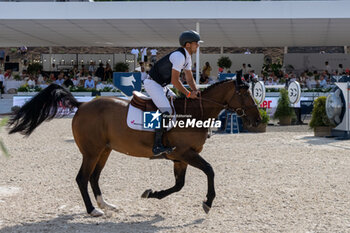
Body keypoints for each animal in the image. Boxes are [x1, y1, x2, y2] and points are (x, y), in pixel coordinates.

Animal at [7, 75, 260, 218]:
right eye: (246, 94)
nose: (257, 120)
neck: (196, 113)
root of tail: (82, 105)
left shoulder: (180, 158)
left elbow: (179, 185)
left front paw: (152, 194)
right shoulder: (185, 154)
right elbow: (209, 170)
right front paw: (208, 202)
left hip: (104, 151)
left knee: (94, 177)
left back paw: (107, 205)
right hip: (91, 151)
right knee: (82, 178)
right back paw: (93, 210)